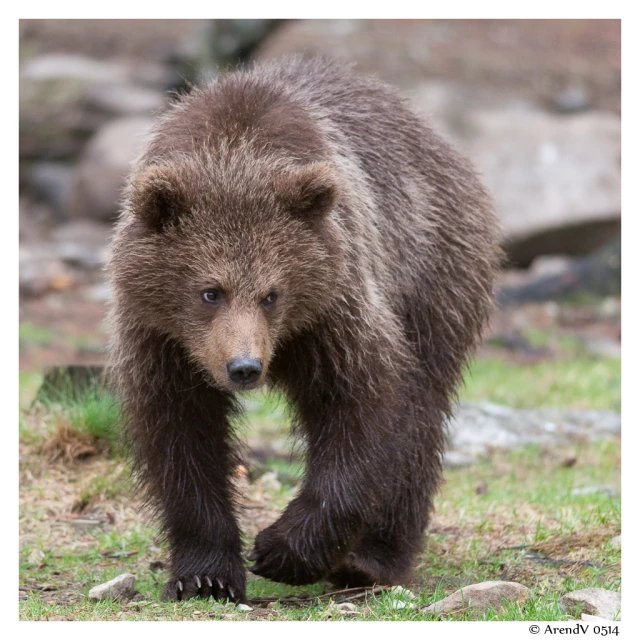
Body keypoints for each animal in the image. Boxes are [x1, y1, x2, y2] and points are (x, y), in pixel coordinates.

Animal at [107, 57, 502, 604]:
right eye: (210, 291)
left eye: (271, 293)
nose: (245, 368)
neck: (233, 153)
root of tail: (443, 144)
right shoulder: (161, 337)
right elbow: (180, 433)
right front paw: (206, 574)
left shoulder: (335, 308)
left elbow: (362, 408)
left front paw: (282, 550)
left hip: (433, 272)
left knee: (422, 414)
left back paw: (371, 559)